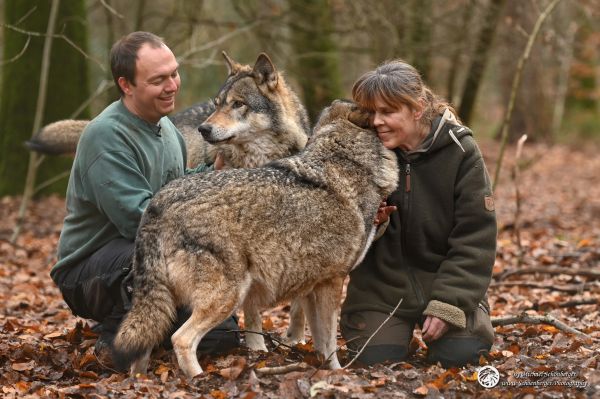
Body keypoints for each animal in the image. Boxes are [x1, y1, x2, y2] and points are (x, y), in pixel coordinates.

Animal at [112, 100, 398, 378]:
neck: (345, 163)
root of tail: (158, 203)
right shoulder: (333, 281)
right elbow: (329, 340)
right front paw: (338, 374)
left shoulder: (310, 288)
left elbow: (318, 340)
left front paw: (323, 368)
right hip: (227, 298)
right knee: (180, 339)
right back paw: (199, 379)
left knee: (143, 348)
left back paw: (140, 380)